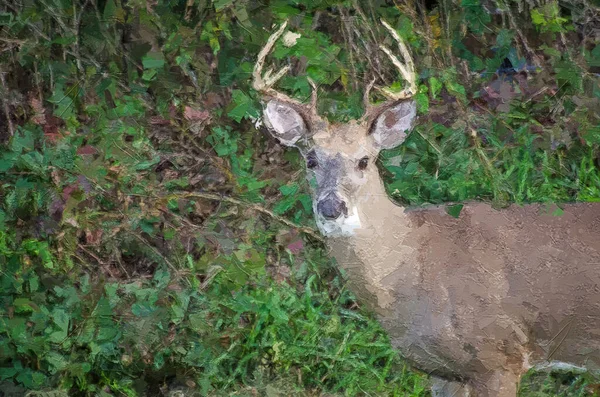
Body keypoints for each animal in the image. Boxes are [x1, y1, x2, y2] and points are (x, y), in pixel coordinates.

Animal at [252, 20, 600, 394]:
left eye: (364, 160)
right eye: (311, 160)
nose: (331, 207)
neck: (411, 270)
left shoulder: (499, 354)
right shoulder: (440, 369)